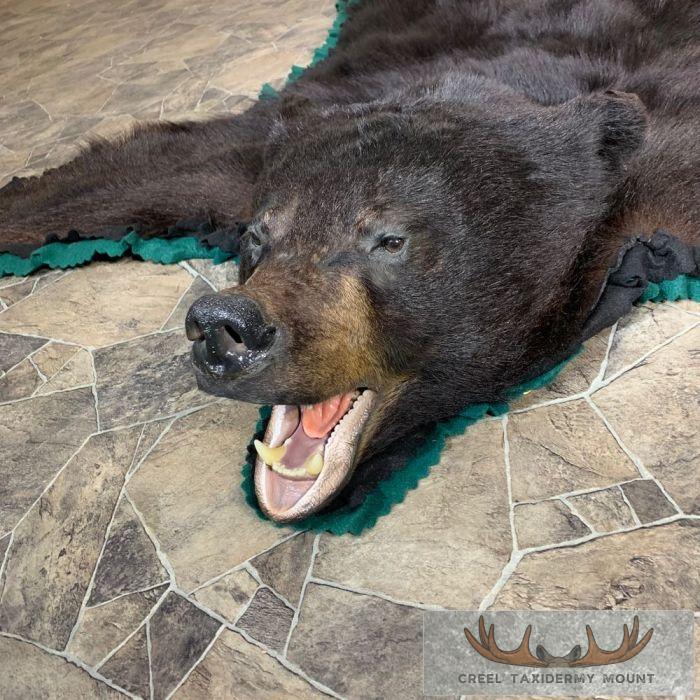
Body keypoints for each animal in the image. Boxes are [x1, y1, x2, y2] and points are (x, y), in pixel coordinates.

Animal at [1, 0, 698, 522]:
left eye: (388, 241)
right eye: (258, 236)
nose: (226, 328)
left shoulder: (661, 158)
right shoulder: (273, 138)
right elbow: (141, 169)